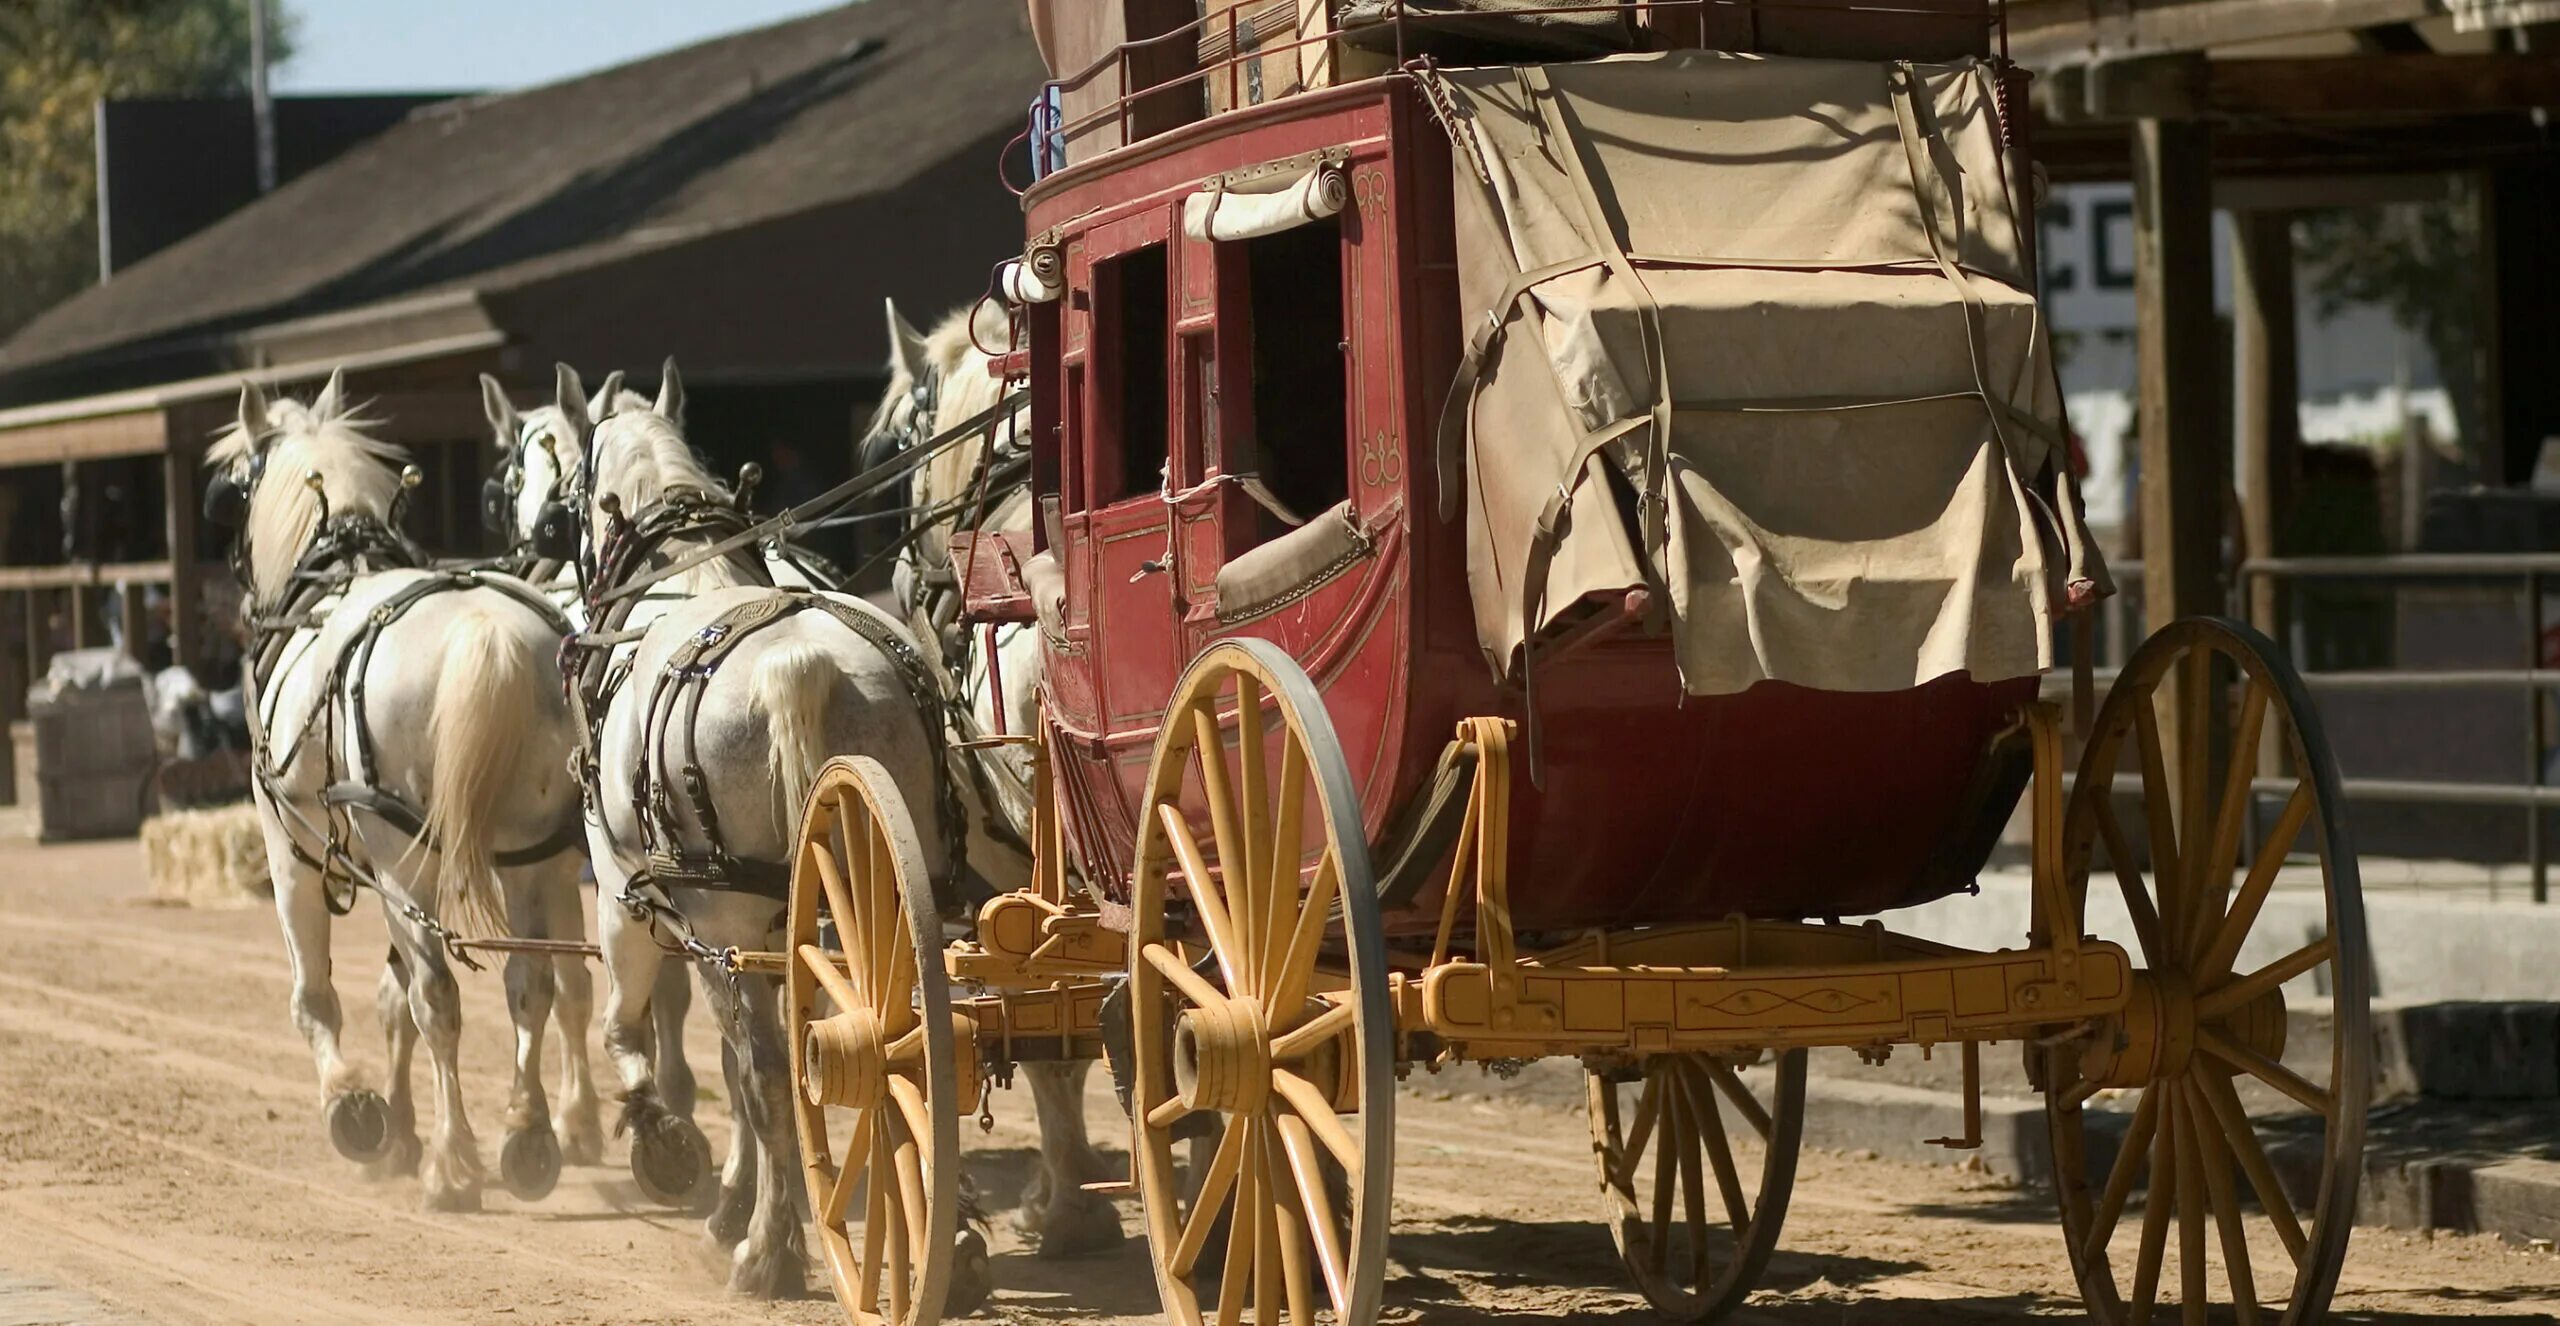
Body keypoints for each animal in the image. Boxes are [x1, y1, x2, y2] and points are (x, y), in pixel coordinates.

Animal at [209, 373, 599, 1218]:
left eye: (234, 489)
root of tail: (485, 630)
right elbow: (395, 1005)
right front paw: (399, 1129)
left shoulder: (289, 852)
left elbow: (318, 998)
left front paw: (356, 1110)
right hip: (531, 855)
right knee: (533, 985)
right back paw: (528, 1135)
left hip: (403, 863)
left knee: (441, 998)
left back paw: (455, 1164)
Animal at [552, 363, 952, 1300]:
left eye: (571, 491)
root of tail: (800, 668)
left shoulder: (634, 902)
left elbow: (642, 1036)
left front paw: (673, 1148)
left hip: (723, 916)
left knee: (772, 1070)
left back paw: (766, 1252)